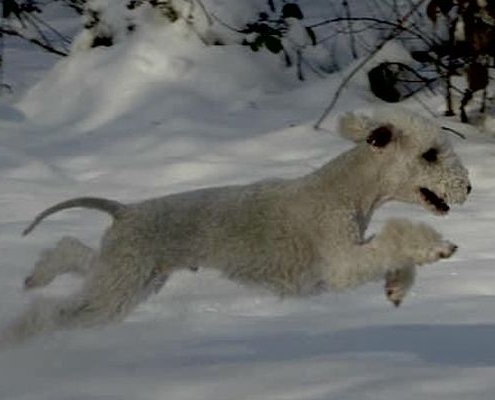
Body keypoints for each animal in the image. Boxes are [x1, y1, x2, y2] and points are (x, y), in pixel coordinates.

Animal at [0, 108, 472, 346]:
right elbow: (397, 237)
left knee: (75, 254)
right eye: (431, 154)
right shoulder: (338, 262)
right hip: (119, 284)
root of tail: (125, 210)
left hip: (131, 274)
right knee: (55, 311)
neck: (345, 190)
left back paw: (35, 276)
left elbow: (393, 250)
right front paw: (438, 248)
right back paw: (18, 334)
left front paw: (397, 286)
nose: (467, 187)